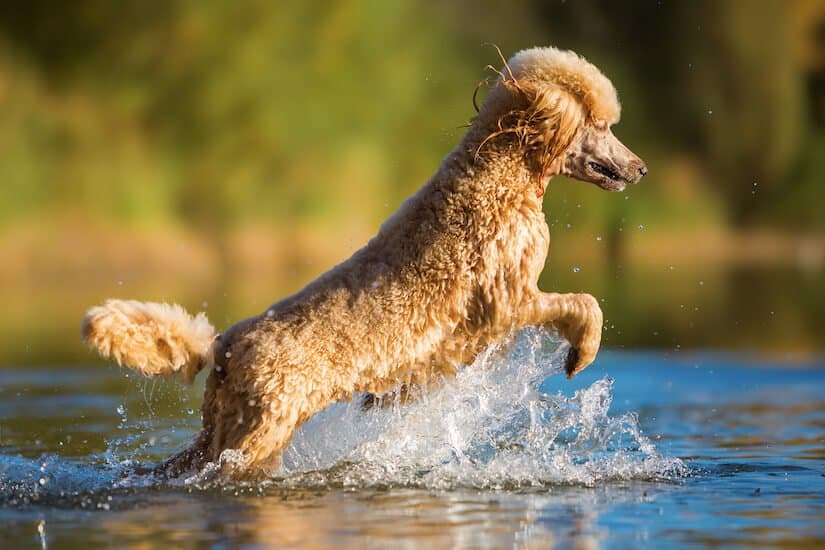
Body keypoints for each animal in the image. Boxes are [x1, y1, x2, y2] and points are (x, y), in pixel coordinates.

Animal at [85, 46, 652, 478]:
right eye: (601, 124)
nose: (642, 169)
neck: (497, 172)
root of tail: (224, 345)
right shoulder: (505, 302)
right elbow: (586, 304)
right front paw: (581, 353)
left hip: (225, 428)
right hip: (257, 434)